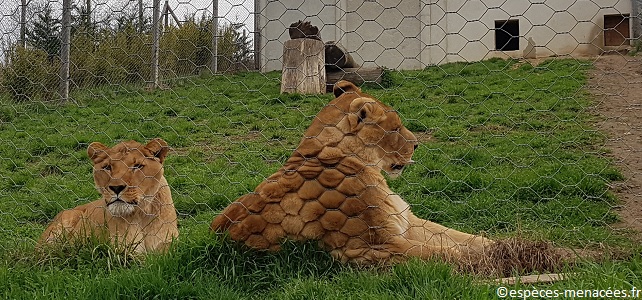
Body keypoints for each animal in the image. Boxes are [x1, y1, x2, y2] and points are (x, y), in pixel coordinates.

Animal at [38, 138, 178, 253]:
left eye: (137, 166)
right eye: (107, 167)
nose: (116, 188)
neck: (140, 215)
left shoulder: (168, 243)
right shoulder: (121, 249)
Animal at [211, 81, 490, 264]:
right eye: (395, 128)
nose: (416, 145)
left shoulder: (406, 222)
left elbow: (464, 239)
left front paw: (498, 246)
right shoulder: (372, 247)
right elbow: (448, 254)